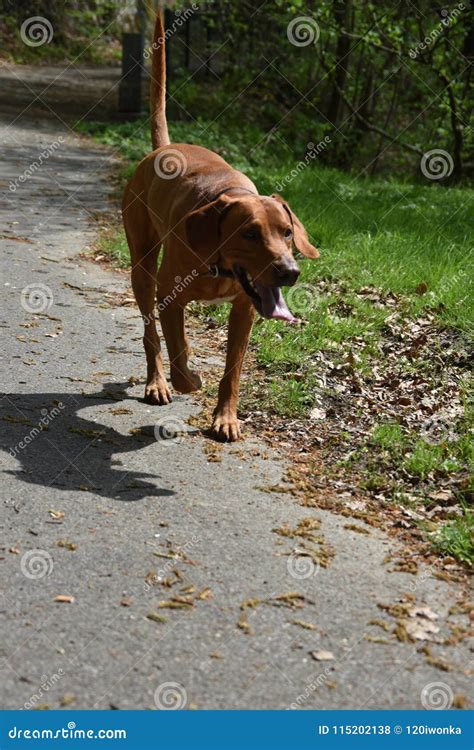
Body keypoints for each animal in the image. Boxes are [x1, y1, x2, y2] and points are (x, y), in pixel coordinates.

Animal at [122, 10, 318, 440]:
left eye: (287, 233)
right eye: (249, 233)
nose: (290, 272)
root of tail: (163, 148)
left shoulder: (245, 311)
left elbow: (233, 370)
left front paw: (225, 418)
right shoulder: (170, 297)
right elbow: (178, 351)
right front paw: (188, 379)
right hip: (142, 268)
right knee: (150, 335)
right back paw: (156, 382)